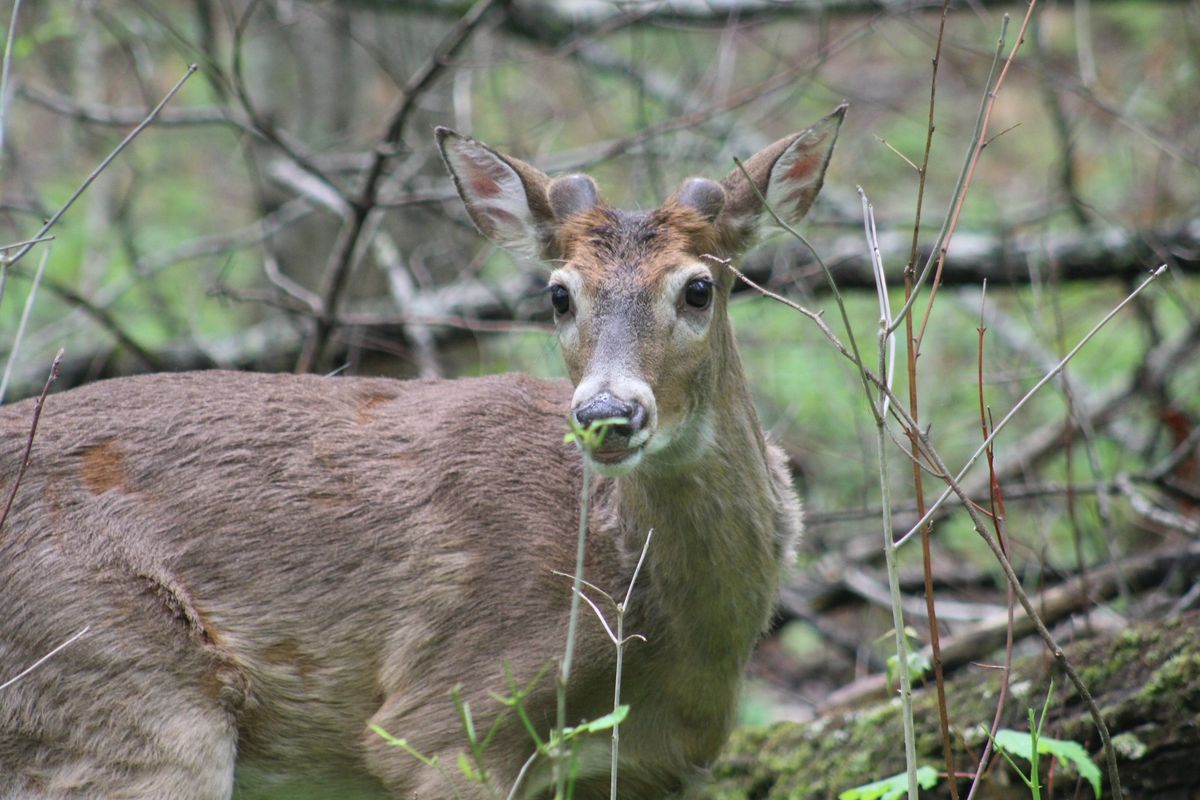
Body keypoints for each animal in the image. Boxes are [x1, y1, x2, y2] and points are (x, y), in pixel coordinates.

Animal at [0, 107, 844, 800]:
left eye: (699, 289)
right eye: (558, 294)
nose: (607, 413)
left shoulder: (648, 769)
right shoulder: (443, 722)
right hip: (119, 685)